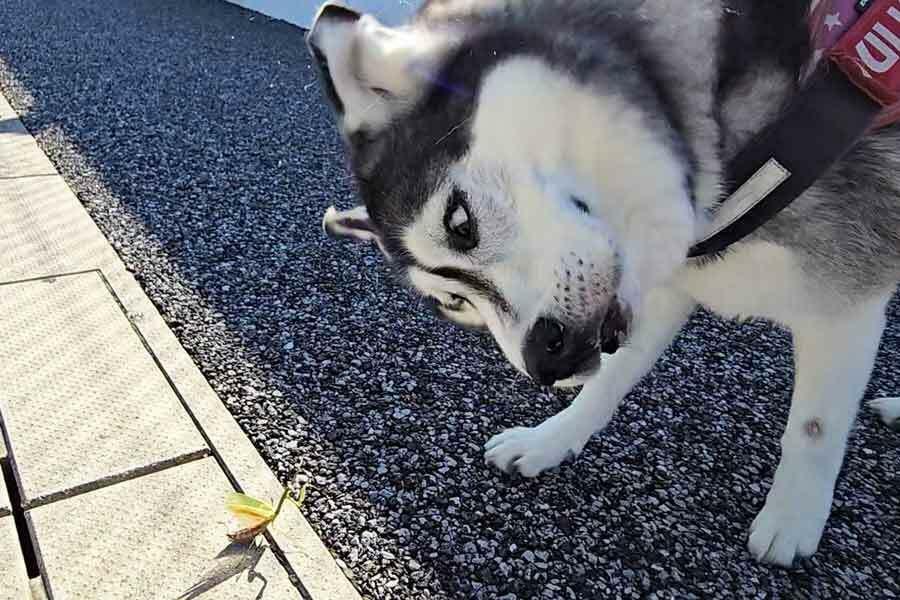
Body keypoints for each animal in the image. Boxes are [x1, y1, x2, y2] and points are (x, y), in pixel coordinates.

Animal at [308, 0, 900, 564]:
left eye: (460, 223)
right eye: (457, 302)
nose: (545, 360)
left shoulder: (847, 298)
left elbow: (814, 426)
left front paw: (792, 520)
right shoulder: (662, 289)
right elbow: (609, 380)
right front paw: (550, 441)